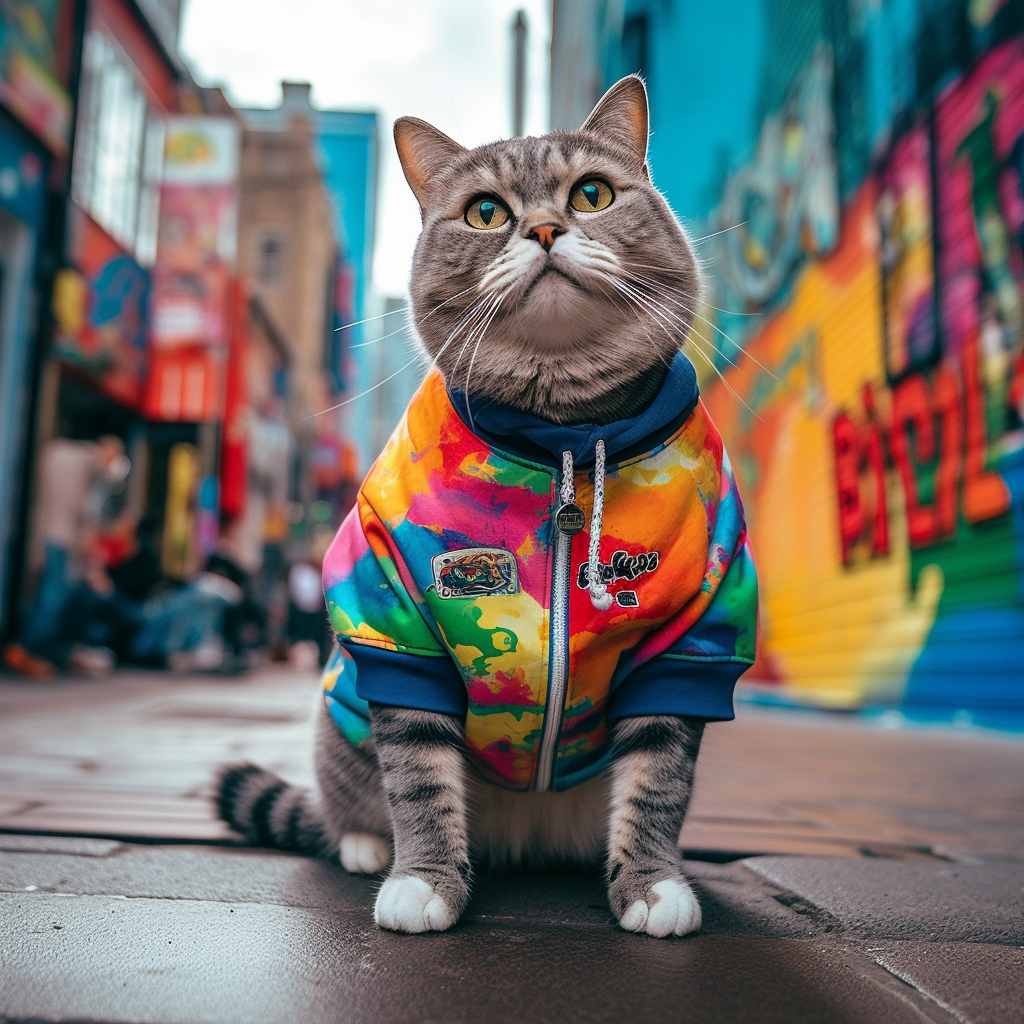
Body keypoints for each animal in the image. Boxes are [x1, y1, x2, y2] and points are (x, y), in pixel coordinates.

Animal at [218, 75, 761, 937]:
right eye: (484, 213)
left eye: (592, 194)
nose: (542, 229)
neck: (567, 431)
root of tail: (521, 836)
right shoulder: (396, 629)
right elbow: (418, 775)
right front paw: (424, 881)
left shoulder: (694, 639)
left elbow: (658, 780)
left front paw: (652, 886)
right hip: (340, 714)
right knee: (346, 805)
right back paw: (365, 846)